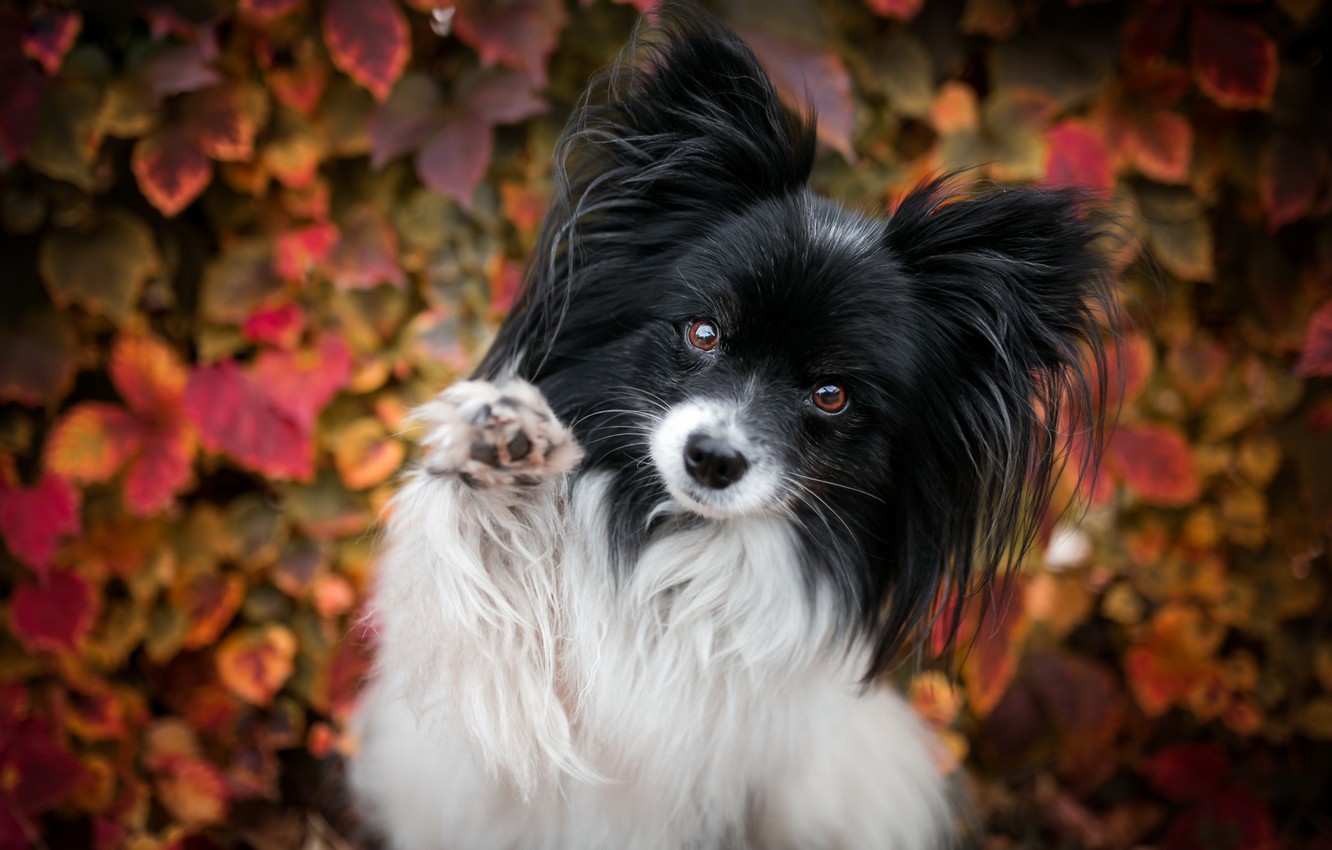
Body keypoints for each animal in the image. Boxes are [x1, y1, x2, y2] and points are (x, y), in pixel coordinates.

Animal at [346, 3, 1113, 847]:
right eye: (703, 332)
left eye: (832, 395)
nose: (713, 459)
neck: (677, 541)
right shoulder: (497, 704)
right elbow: (487, 580)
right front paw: (501, 451)